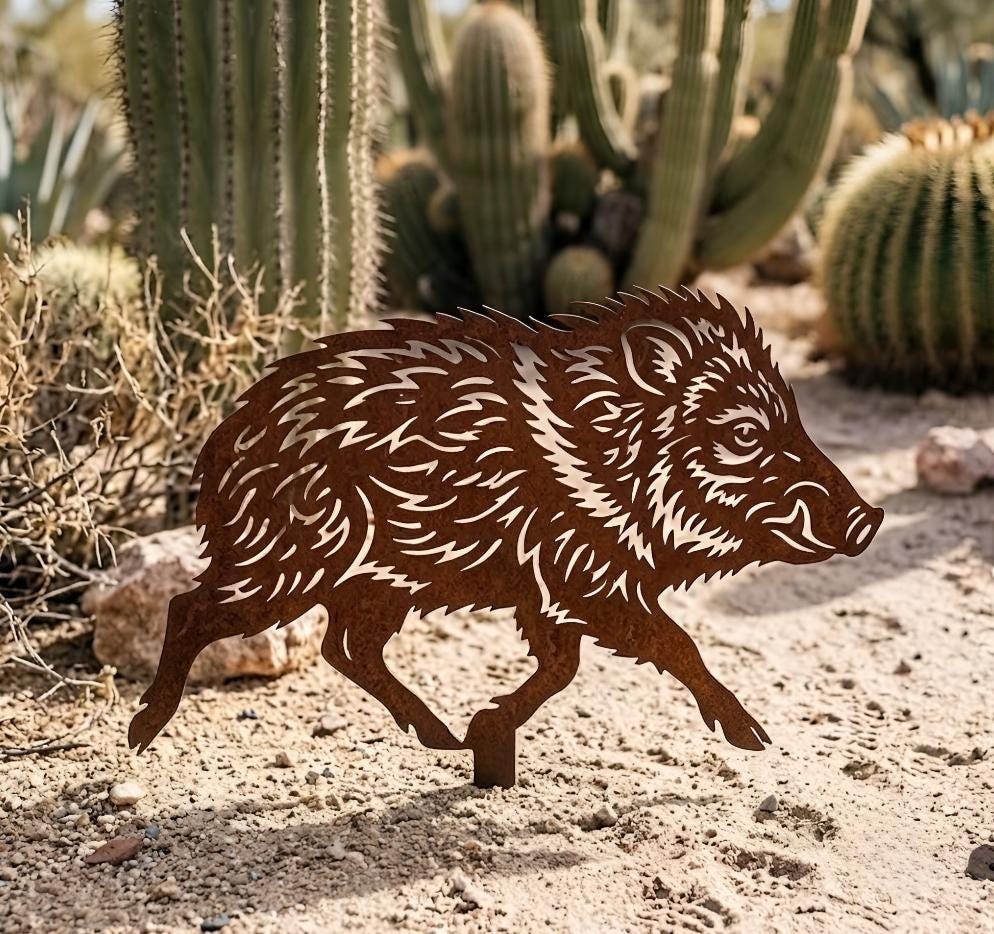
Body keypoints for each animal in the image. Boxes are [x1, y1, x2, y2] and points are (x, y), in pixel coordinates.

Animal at [129, 287, 882, 781]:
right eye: (745, 433)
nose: (867, 519)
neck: (610, 454)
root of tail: (219, 451)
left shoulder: (551, 592)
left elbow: (563, 667)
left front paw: (484, 733)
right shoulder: (587, 575)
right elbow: (676, 644)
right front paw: (751, 736)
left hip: (378, 579)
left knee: (347, 648)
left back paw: (441, 739)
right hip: (292, 559)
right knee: (189, 608)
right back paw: (142, 732)